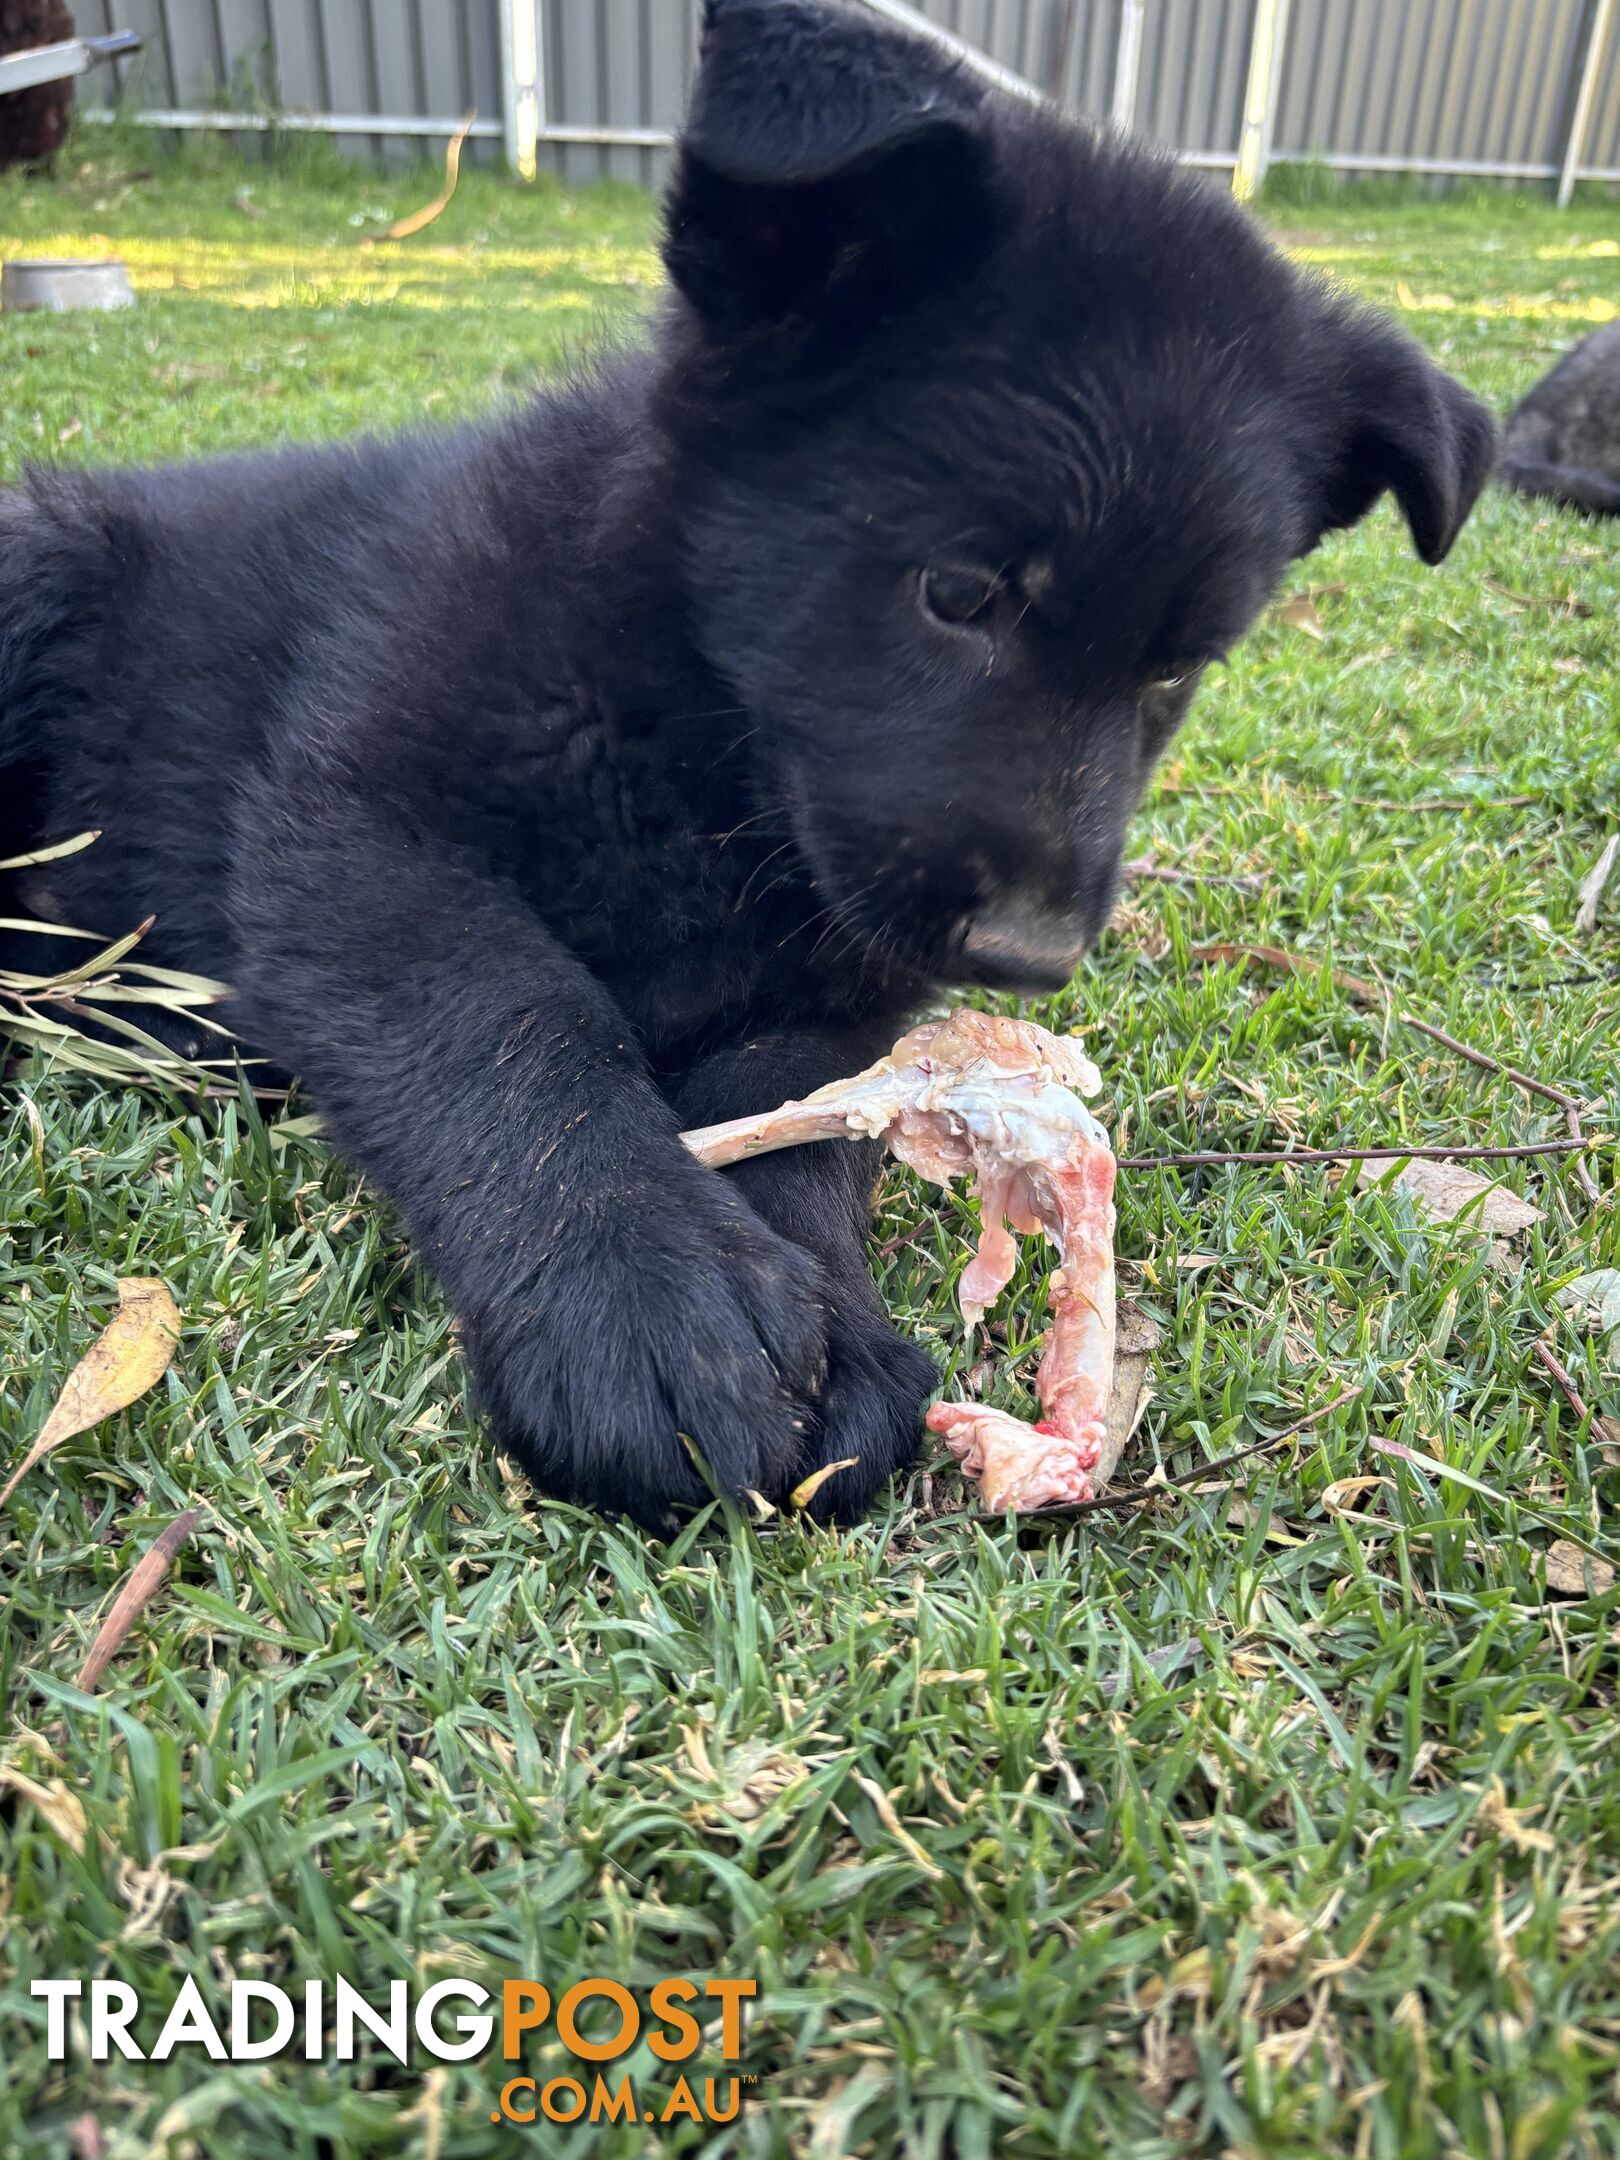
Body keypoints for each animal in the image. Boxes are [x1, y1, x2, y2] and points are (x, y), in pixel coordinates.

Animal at [0, 0, 1494, 1529]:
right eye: (959, 594)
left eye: (1173, 673)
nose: (1029, 961)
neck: (698, 739)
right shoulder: (354, 834)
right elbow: (513, 1014)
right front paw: (642, 1291)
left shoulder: (826, 989)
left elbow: (800, 1116)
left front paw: (822, 1322)